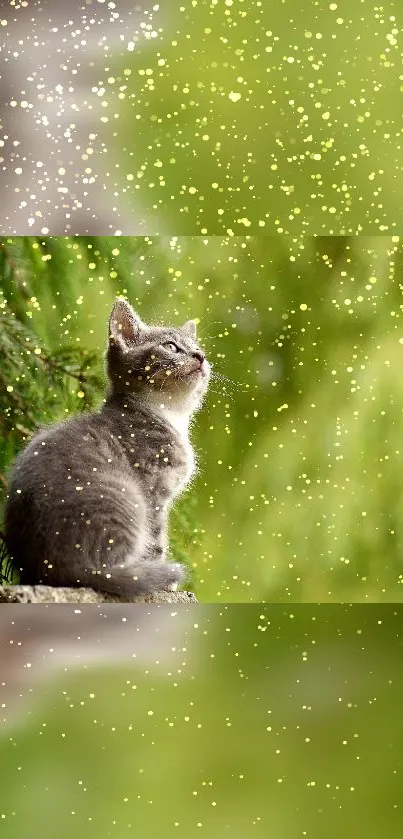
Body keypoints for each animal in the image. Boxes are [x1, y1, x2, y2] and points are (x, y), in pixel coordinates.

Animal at [3, 300, 211, 596]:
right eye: (171, 346)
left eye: (198, 348)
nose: (200, 356)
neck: (168, 414)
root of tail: (58, 568)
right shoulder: (154, 489)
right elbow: (156, 540)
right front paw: (165, 585)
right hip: (128, 498)